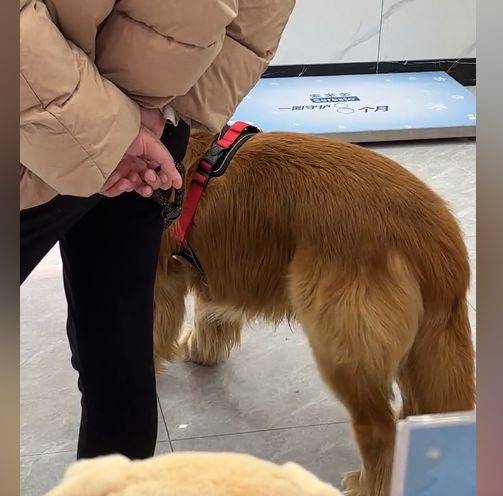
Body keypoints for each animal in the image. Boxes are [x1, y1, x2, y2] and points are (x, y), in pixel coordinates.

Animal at [154, 132, 476, 496]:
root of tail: (441, 244)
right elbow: (211, 316)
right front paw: (201, 350)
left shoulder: (160, 282)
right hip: (419, 353)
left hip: (342, 348)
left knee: (379, 430)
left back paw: (366, 484)